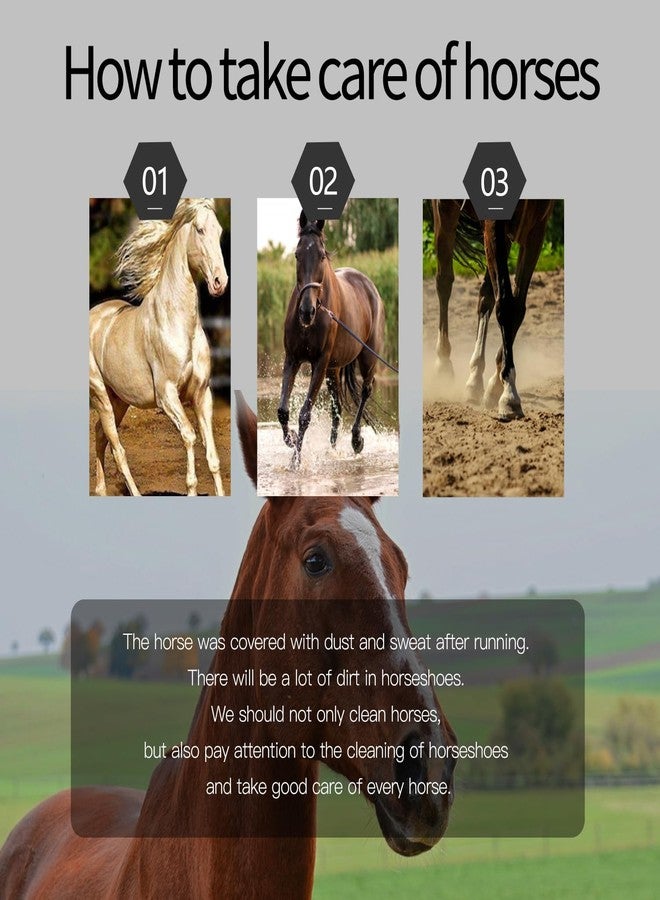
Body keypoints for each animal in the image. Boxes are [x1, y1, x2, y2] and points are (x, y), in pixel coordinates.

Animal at [89, 198, 228, 496]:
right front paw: (191, 489)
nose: (219, 282)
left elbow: (212, 456)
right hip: (101, 397)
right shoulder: (167, 396)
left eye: (220, 231)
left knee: (99, 435)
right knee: (117, 448)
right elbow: (189, 437)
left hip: (119, 400)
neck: (179, 325)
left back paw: (102, 490)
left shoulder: (203, 394)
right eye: (200, 230)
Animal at [277, 211, 386, 468]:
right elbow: (283, 411)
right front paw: (291, 440)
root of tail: (369, 286)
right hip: (333, 370)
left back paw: (356, 440)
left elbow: (304, 414)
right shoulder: (292, 359)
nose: (306, 311)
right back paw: (333, 449)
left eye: (321, 255)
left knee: (366, 391)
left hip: (367, 358)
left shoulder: (319, 362)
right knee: (336, 410)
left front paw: (295, 460)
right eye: (297, 254)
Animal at [432, 199, 554, 419]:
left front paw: (497, 385)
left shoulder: (536, 226)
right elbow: (505, 305)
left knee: (485, 296)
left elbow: (517, 308)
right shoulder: (495, 224)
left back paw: (475, 379)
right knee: (444, 281)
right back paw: (443, 364)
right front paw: (509, 396)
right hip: (444, 208)